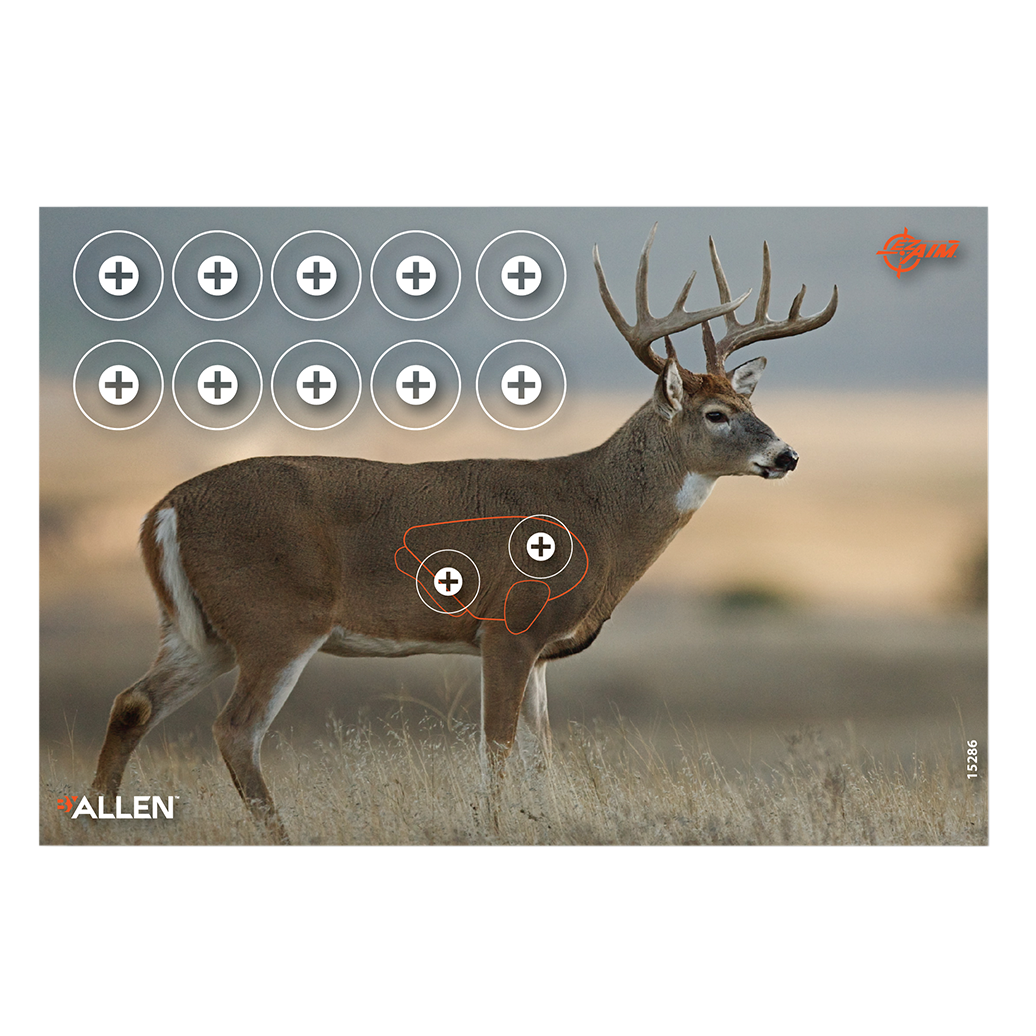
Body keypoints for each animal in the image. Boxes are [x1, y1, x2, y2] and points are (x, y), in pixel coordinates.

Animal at [88, 224, 836, 843]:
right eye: (715, 414)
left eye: (749, 403)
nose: (787, 456)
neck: (596, 515)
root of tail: (165, 508)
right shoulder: (507, 626)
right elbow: (498, 747)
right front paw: (495, 829)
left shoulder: (539, 651)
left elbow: (541, 754)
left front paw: (541, 824)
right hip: (276, 619)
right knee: (235, 729)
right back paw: (280, 837)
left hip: (203, 630)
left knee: (132, 702)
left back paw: (99, 824)